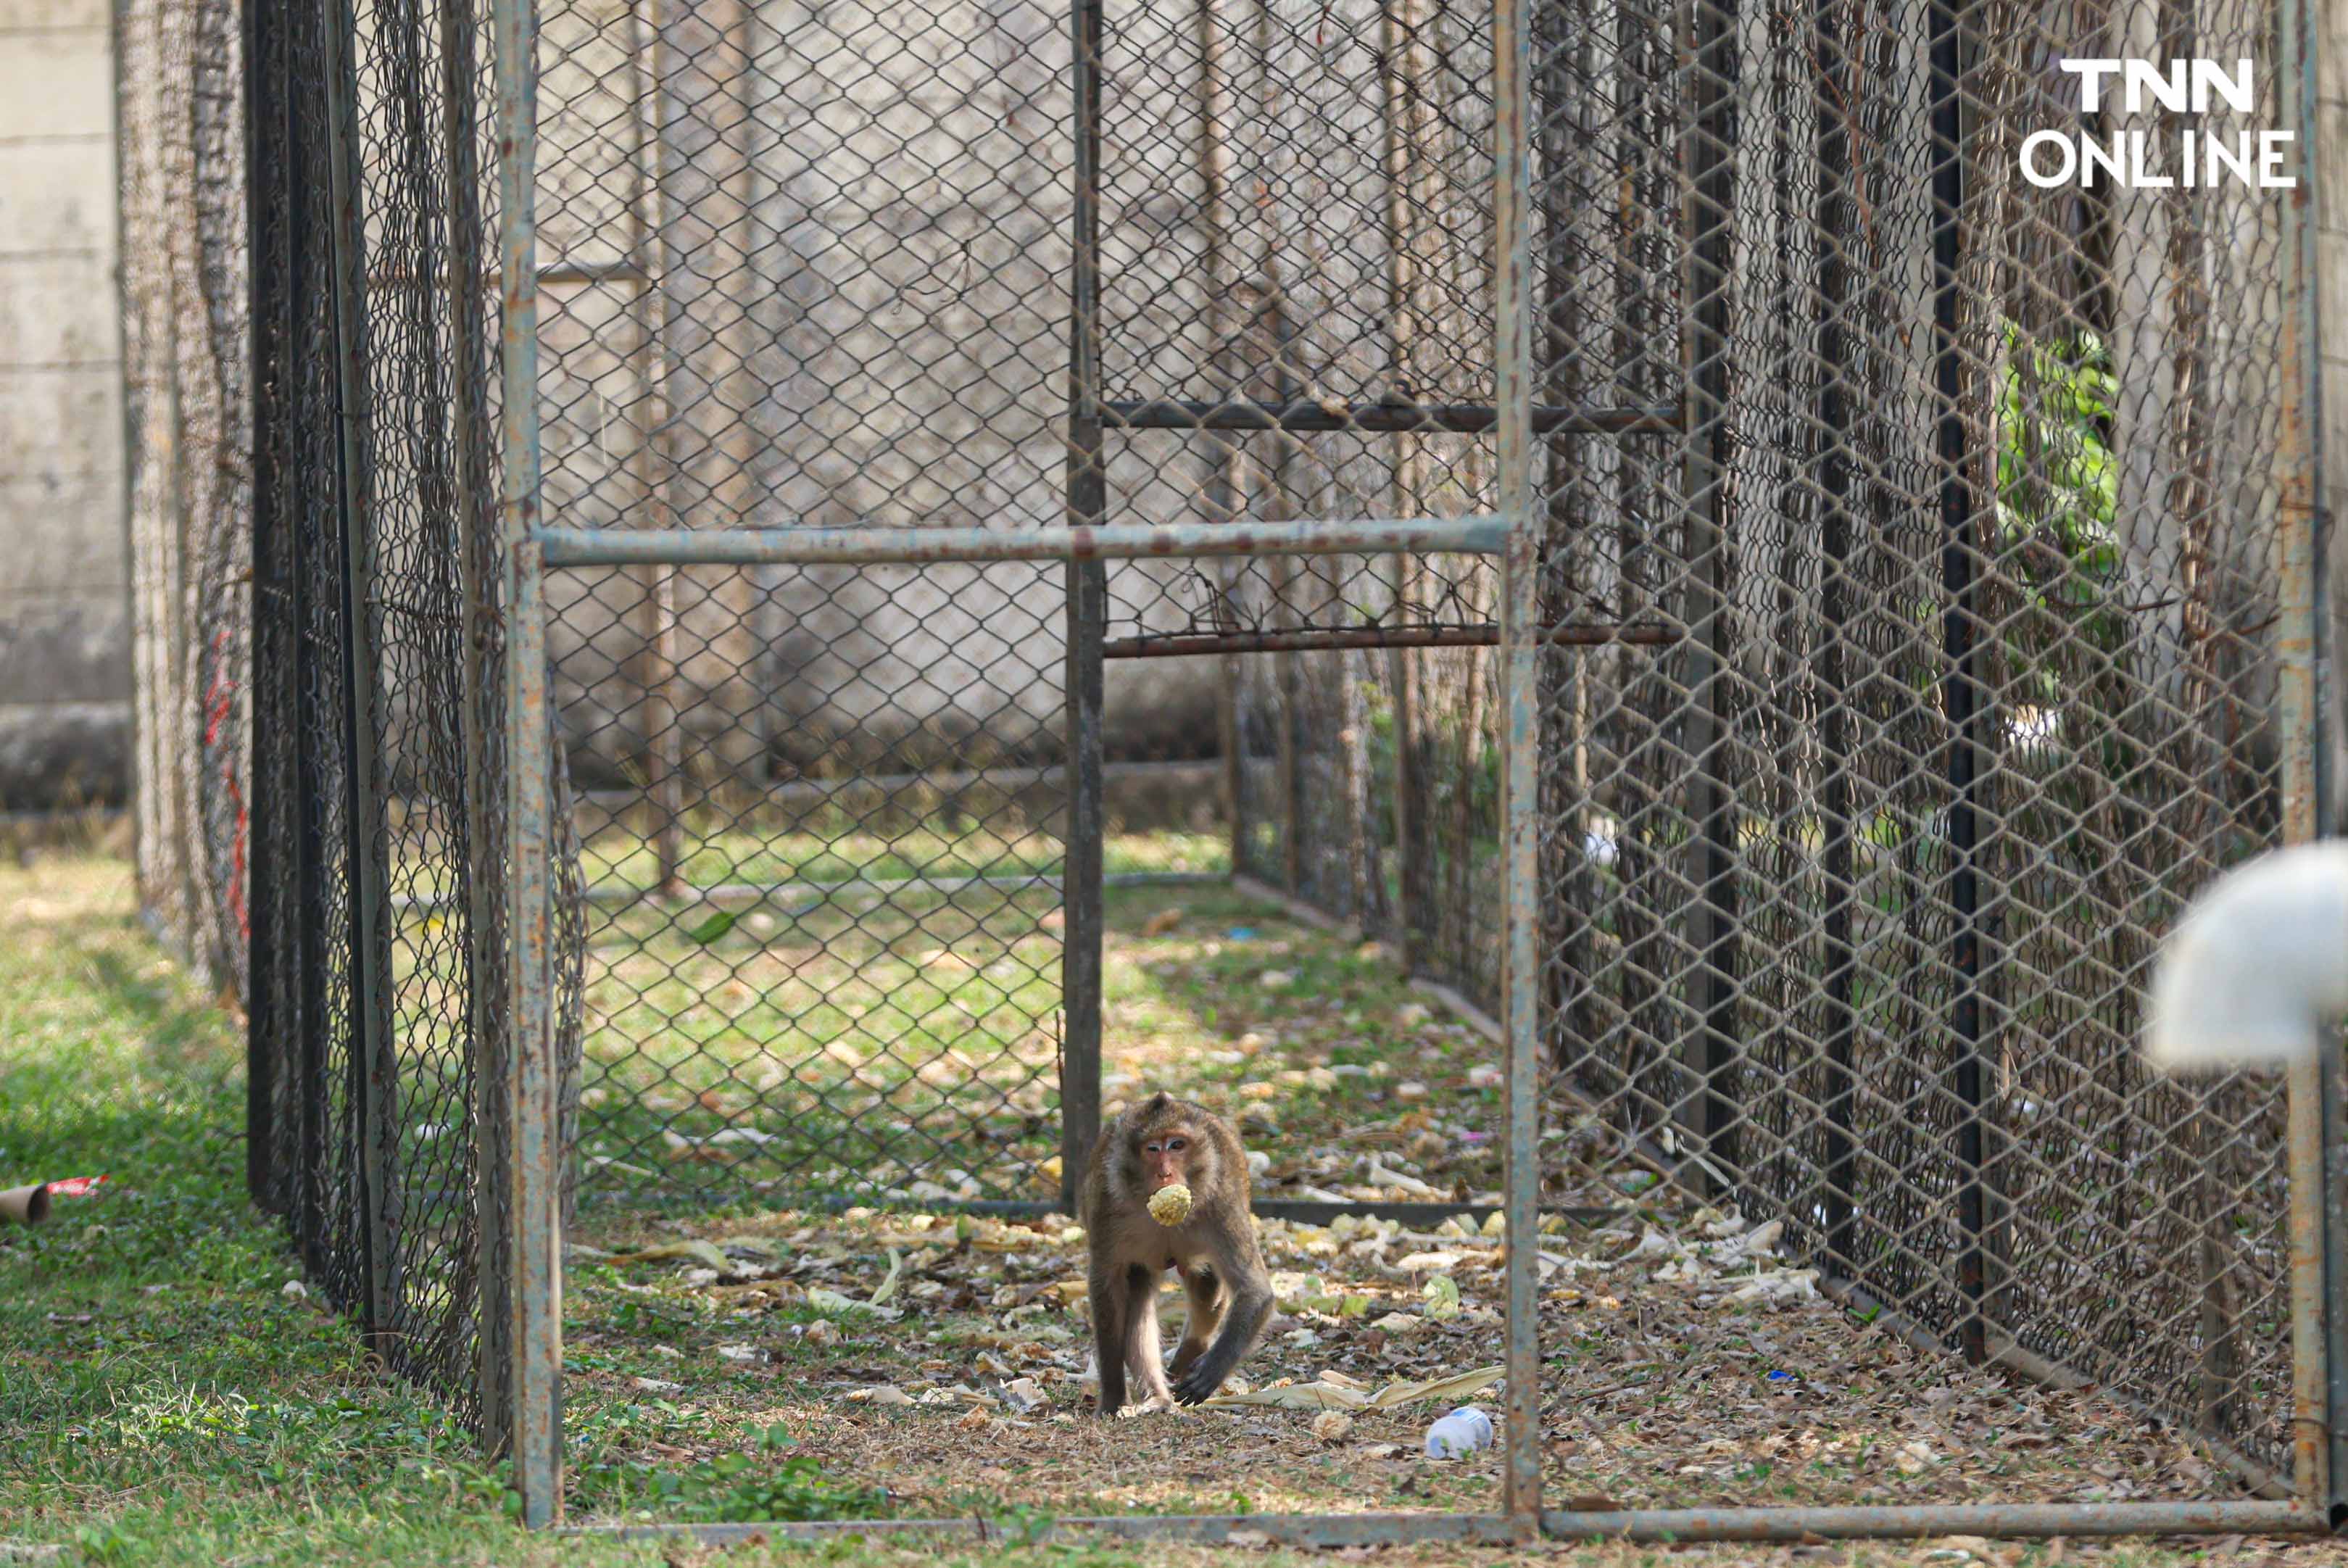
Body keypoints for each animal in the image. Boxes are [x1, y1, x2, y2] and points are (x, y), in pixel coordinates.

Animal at [1075, 1098, 1268, 1417]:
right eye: (1153, 1149)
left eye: (1177, 1145)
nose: (1165, 1173)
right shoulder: (1106, 1205)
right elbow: (1107, 1286)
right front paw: (1113, 1398)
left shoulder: (1222, 1203)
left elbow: (1255, 1290)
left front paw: (1213, 1368)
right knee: (1138, 1301)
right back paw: (1158, 1397)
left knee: (1206, 1286)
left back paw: (1192, 1350)